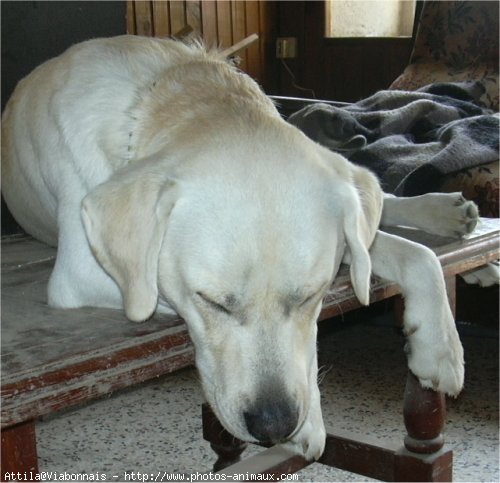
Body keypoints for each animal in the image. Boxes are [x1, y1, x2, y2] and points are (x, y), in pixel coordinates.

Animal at [0, 36, 476, 462]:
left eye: (310, 295)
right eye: (212, 302)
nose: (275, 425)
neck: (160, 93)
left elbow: (415, 254)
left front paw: (441, 349)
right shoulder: (81, 277)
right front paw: (312, 422)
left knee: (381, 198)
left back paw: (449, 215)